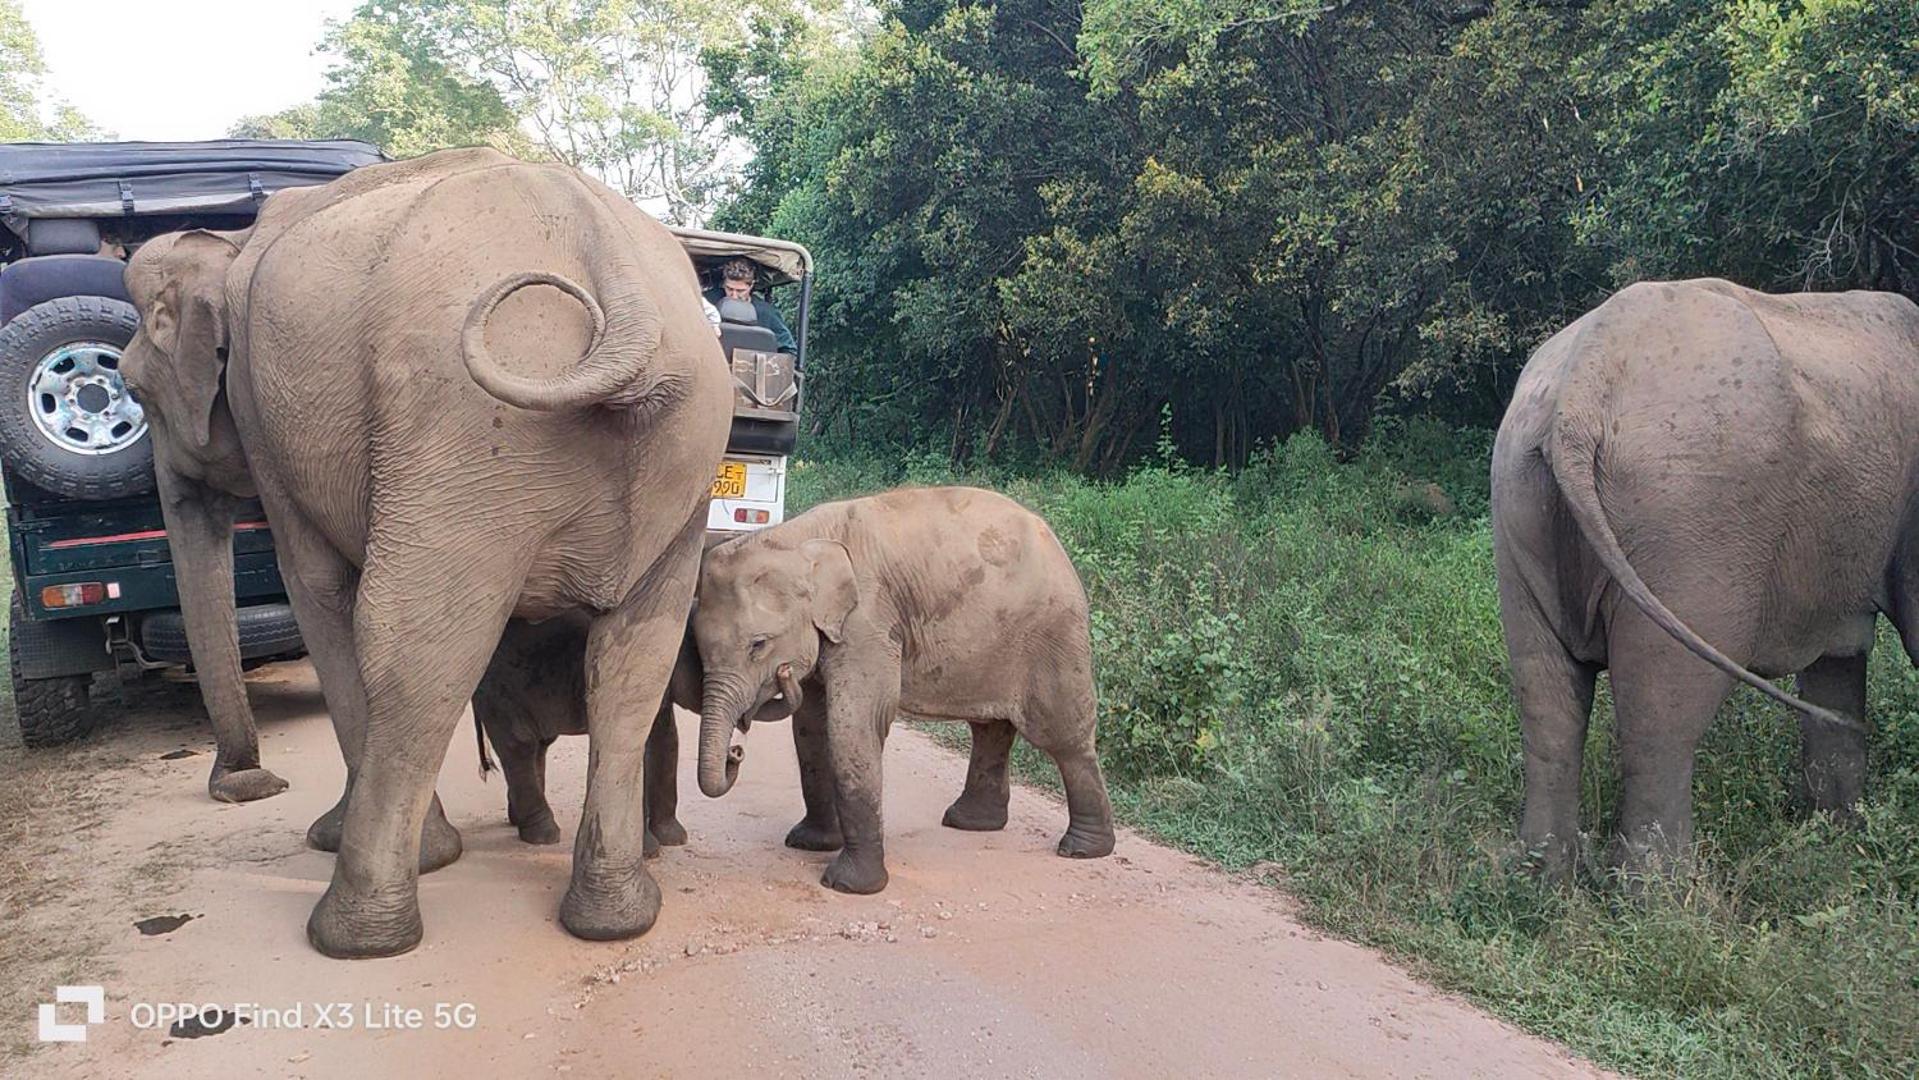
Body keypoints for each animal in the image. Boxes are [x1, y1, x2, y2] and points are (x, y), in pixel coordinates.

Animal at [119, 147, 729, 959]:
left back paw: (358, 932)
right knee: (634, 659)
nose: (246, 785)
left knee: (414, 649)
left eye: (132, 392)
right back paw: (615, 917)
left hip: (459, 430)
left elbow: (318, 590)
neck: (231, 240)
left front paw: (339, 841)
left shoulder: (264, 418)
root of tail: (620, 288)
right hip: (686, 450)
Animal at [694, 491, 1120, 897]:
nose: (736, 751)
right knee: (990, 727)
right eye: (697, 649)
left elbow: (856, 722)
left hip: (1054, 631)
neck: (797, 540)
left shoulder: (869, 623)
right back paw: (971, 823)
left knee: (1061, 736)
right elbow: (811, 727)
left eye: (759, 645)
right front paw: (809, 843)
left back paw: (1082, 849)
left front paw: (847, 885)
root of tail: (1054, 541)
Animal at [1496, 281, 1919, 886]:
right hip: (1690, 516)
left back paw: (1544, 878)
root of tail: (1580, 390)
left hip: (1521, 494)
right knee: (1665, 710)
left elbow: (1838, 661)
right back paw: (1660, 893)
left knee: (1547, 695)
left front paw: (1840, 833)